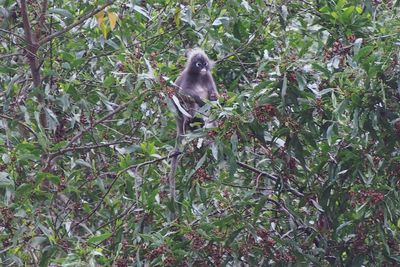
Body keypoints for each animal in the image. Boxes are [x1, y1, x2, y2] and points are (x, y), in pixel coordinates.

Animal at [169, 47, 219, 203]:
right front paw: (201, 101)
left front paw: (213, 99)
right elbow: (183, 94)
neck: (199, 76)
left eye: (204, 63)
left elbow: (214, 97)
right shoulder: (188, 77)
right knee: (188, 103)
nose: (203, 68)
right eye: (198, 64)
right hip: (183, 116)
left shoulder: (208, 77)